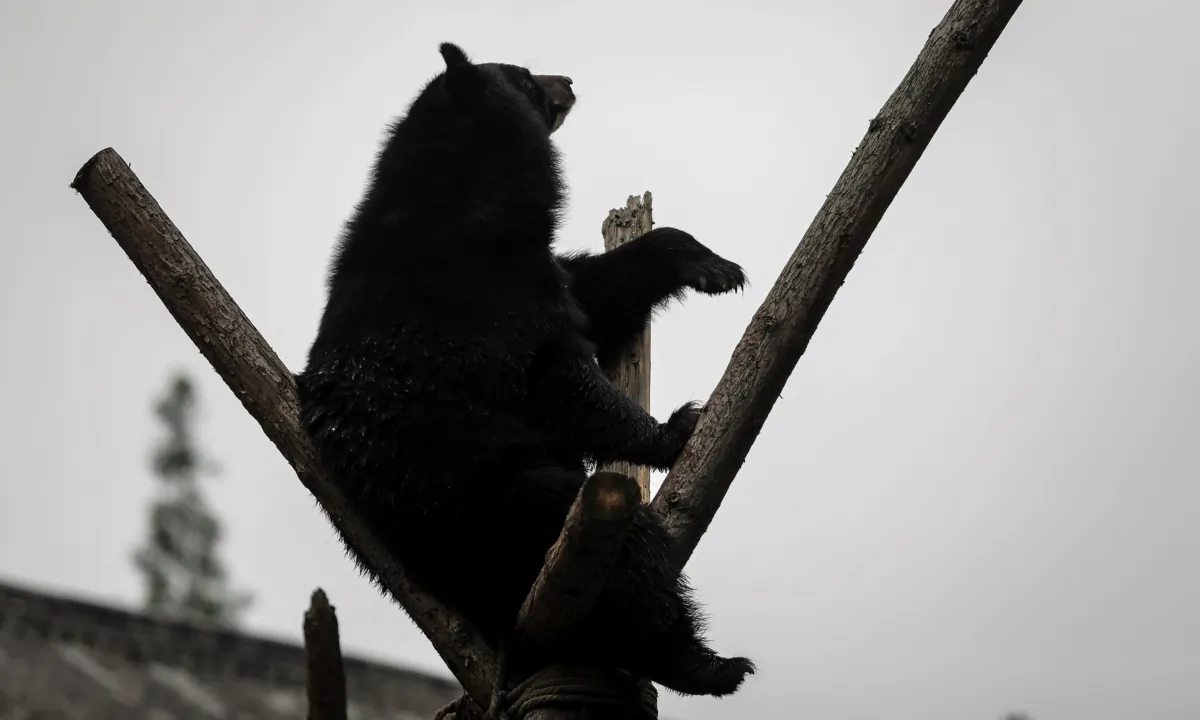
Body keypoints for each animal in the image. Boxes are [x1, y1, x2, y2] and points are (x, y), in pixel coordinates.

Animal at [295, 42, 754, 698]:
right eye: (524, 77)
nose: (569, 78)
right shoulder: (485, 303)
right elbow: (561, 382)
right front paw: (676, 427)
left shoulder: (529, 269)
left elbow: (592, 292)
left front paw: (714, 267)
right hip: (503, 510)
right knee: (632, 561)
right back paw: (706, 664)